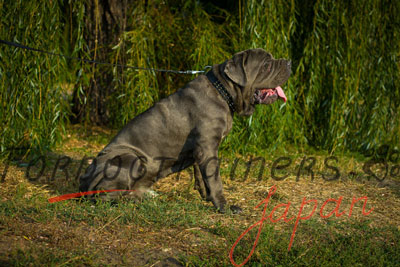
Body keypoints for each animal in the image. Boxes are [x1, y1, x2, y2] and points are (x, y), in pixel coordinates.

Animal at [79, 48, 290, 214]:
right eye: (267, 64)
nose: (288, 61)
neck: (223, 91)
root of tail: (83, 181)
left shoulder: (200, 148)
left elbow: (202, 176)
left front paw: (206, 196)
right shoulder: (208, 146)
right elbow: (215, 179)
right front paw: (224, 207)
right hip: (131, 159)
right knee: (103, 197)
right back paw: (130, 199)